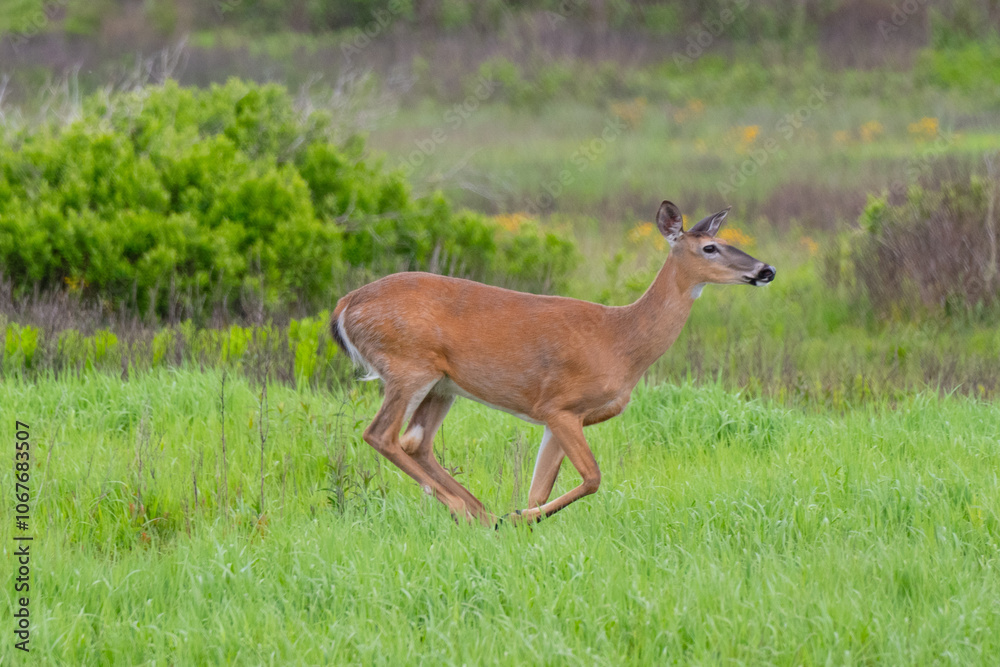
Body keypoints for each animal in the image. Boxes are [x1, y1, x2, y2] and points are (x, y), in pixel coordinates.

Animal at [331, 200, 775, 527]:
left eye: (724, 240)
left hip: (442, 385)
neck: (621, 341)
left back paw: (480, 512)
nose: (765, 269)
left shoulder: (561, 418)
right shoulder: (559, 405)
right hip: (409, 367)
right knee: (380, 434)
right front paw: (519, 518)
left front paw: (520, 517)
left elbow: (539, 488)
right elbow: (592, 477)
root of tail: (345, 305)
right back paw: (468, 511)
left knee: (415, 442)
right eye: (710, 247)